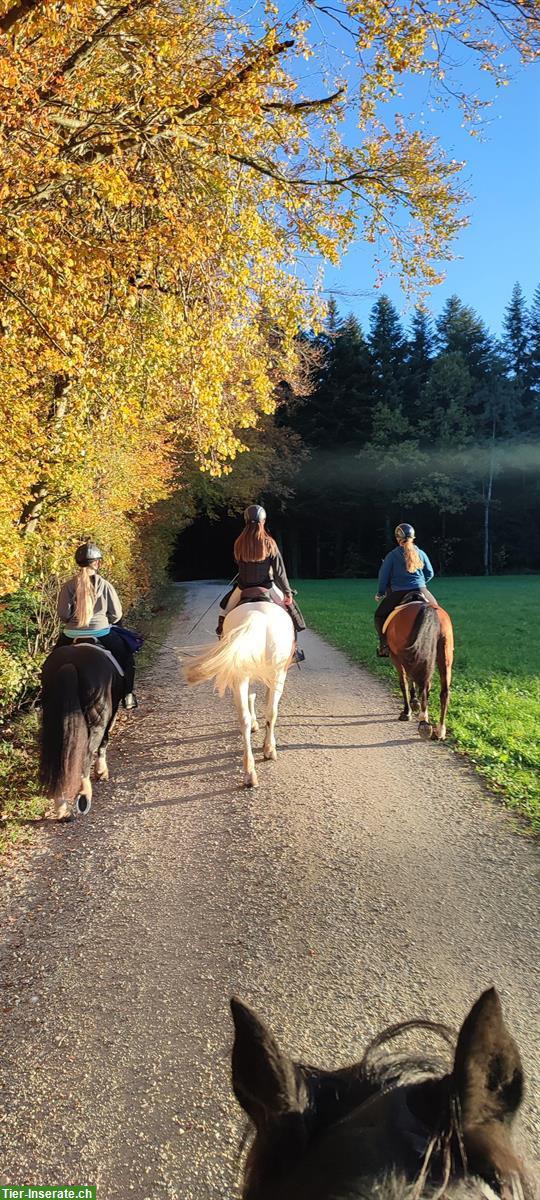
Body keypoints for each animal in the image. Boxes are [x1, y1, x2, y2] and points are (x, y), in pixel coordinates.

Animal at [186, 600, 295, 787]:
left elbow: (252, 697)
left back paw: (250, 773)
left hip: (242, 674)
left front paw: (254, 724)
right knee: (271, 712)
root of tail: (257, 617)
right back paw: (268, 750)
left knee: (245, 718)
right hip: (277, 673)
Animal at [384, 600, 456, 739]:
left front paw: (407, 711)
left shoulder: (396, 657)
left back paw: (424, 722)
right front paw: (415, 702)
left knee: (423, 685)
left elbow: (404, 683)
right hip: (445, 658)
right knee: (443, 691)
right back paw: (440, 730)